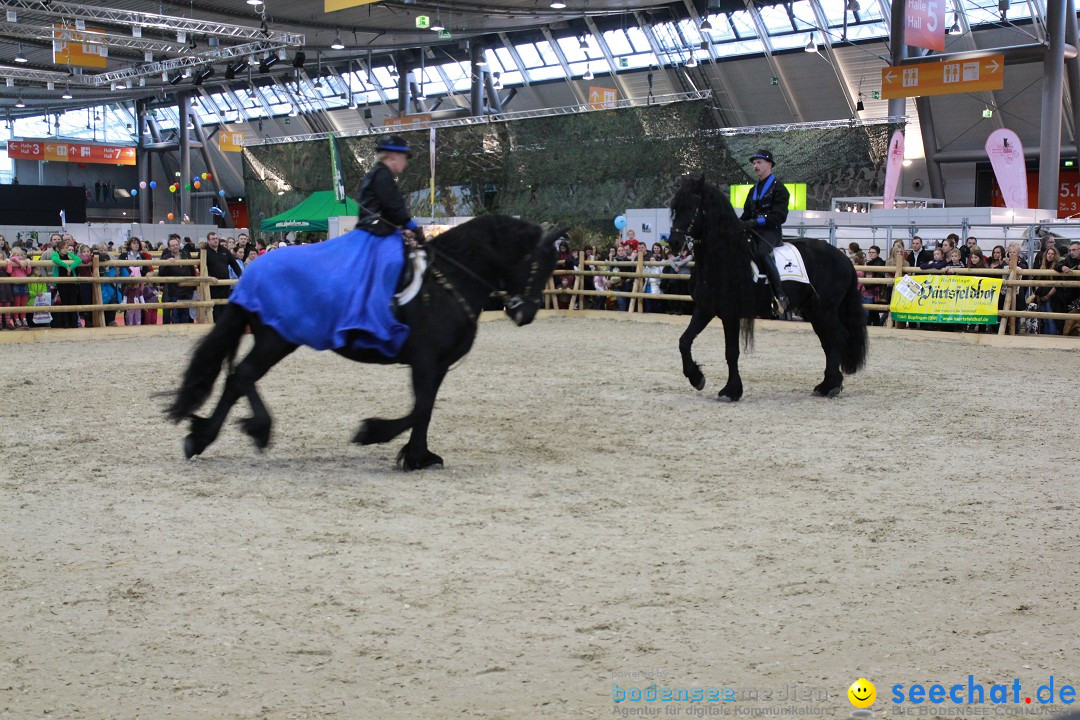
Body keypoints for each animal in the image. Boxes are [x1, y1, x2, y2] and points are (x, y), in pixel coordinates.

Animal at [166, 216, 565, 470]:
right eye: (536, 263)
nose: (525, 313)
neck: (448, 280)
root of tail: (252, 272)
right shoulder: (425, 360)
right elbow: (420, 408)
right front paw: (373, 433)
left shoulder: (437, 366)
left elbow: (426, 408)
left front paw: (419, 457)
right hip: (276, 340)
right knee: (243, 375)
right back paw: (249, 431)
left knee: (238, 379)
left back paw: (205, 437)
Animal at [669, 174, 864, 399]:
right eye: (675, 207)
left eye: (692, 206)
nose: (674, 242)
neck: (724, 254)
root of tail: (843, 258)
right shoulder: (705, 308)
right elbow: (684, 341)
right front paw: (696, 378)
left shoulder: (730, 312)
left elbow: (731, 351)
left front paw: (731, 390)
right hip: (814, 311)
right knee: (828, 342)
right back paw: (826, 385)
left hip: (825, 310)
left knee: (838, 338)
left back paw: (832, 385)